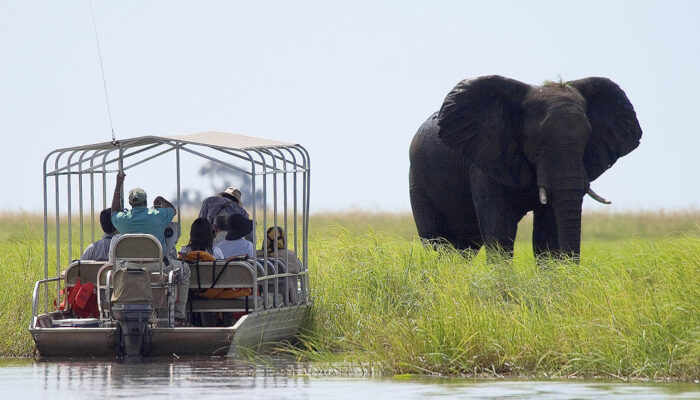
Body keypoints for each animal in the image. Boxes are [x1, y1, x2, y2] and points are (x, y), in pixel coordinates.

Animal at [409, 75, 642, 259]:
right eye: (538, 142)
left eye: (587, 141)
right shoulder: (486, 159)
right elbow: (500, 229)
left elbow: (547, 235)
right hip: (418, 182)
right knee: (437, 242)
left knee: (464, 249)